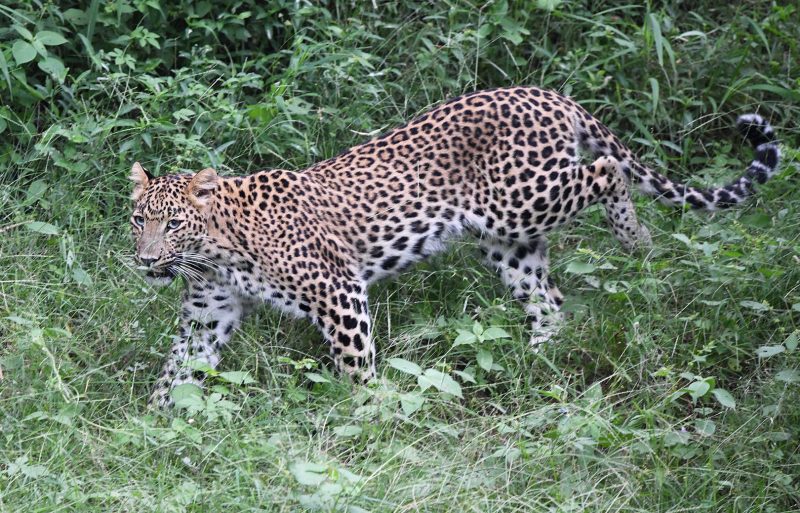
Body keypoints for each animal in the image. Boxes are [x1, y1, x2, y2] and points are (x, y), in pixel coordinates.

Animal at [128, 86, 780, 406]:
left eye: (174, 223)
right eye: (138, 220)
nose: (146, 261)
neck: (218, 252)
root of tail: (549, 93)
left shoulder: (339, 294)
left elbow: (356, 369)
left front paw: (367, 422)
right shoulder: (207, 315)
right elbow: (176, 372)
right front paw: (152, 429)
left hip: (526, 197)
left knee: (609, 172)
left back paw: (636, 242)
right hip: (509, 241)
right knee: (550, 302)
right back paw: (535, 363)